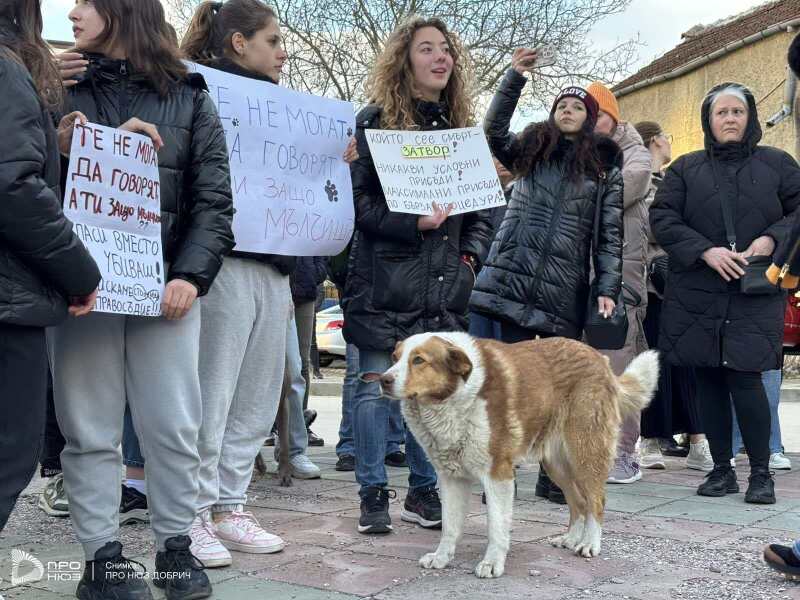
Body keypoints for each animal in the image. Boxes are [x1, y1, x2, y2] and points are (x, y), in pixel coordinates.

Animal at [376, 332, 659, 578]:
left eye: (418, 360)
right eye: (394, 357)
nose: (383, 379)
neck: (455, 396)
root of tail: (601, 359)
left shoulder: (497, 474)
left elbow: (496, 527)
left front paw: (492, 563)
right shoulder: (451, 478)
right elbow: (450, 526)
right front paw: (441, 558)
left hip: (584, 453)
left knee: (596, 501)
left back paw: (590, 543)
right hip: (555, 465)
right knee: (578, 502)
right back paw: (570, 538)